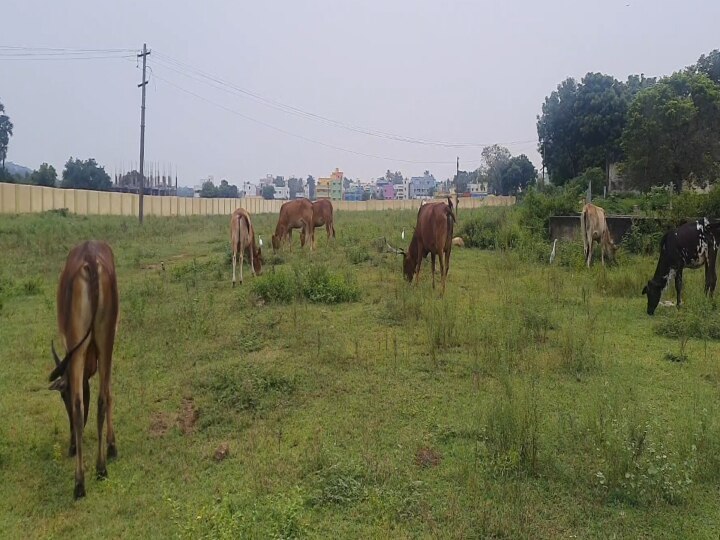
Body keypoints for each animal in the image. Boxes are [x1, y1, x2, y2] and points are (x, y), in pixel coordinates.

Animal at [47, 240, 119, 498]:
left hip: (78, 345)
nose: (70, 448)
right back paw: (100, 468)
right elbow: (108, 393)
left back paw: (80, 483)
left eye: (63, 396)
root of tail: (89, 257)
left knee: (80, 408)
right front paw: (111, 445)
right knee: (100, 399)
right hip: (105, 338)